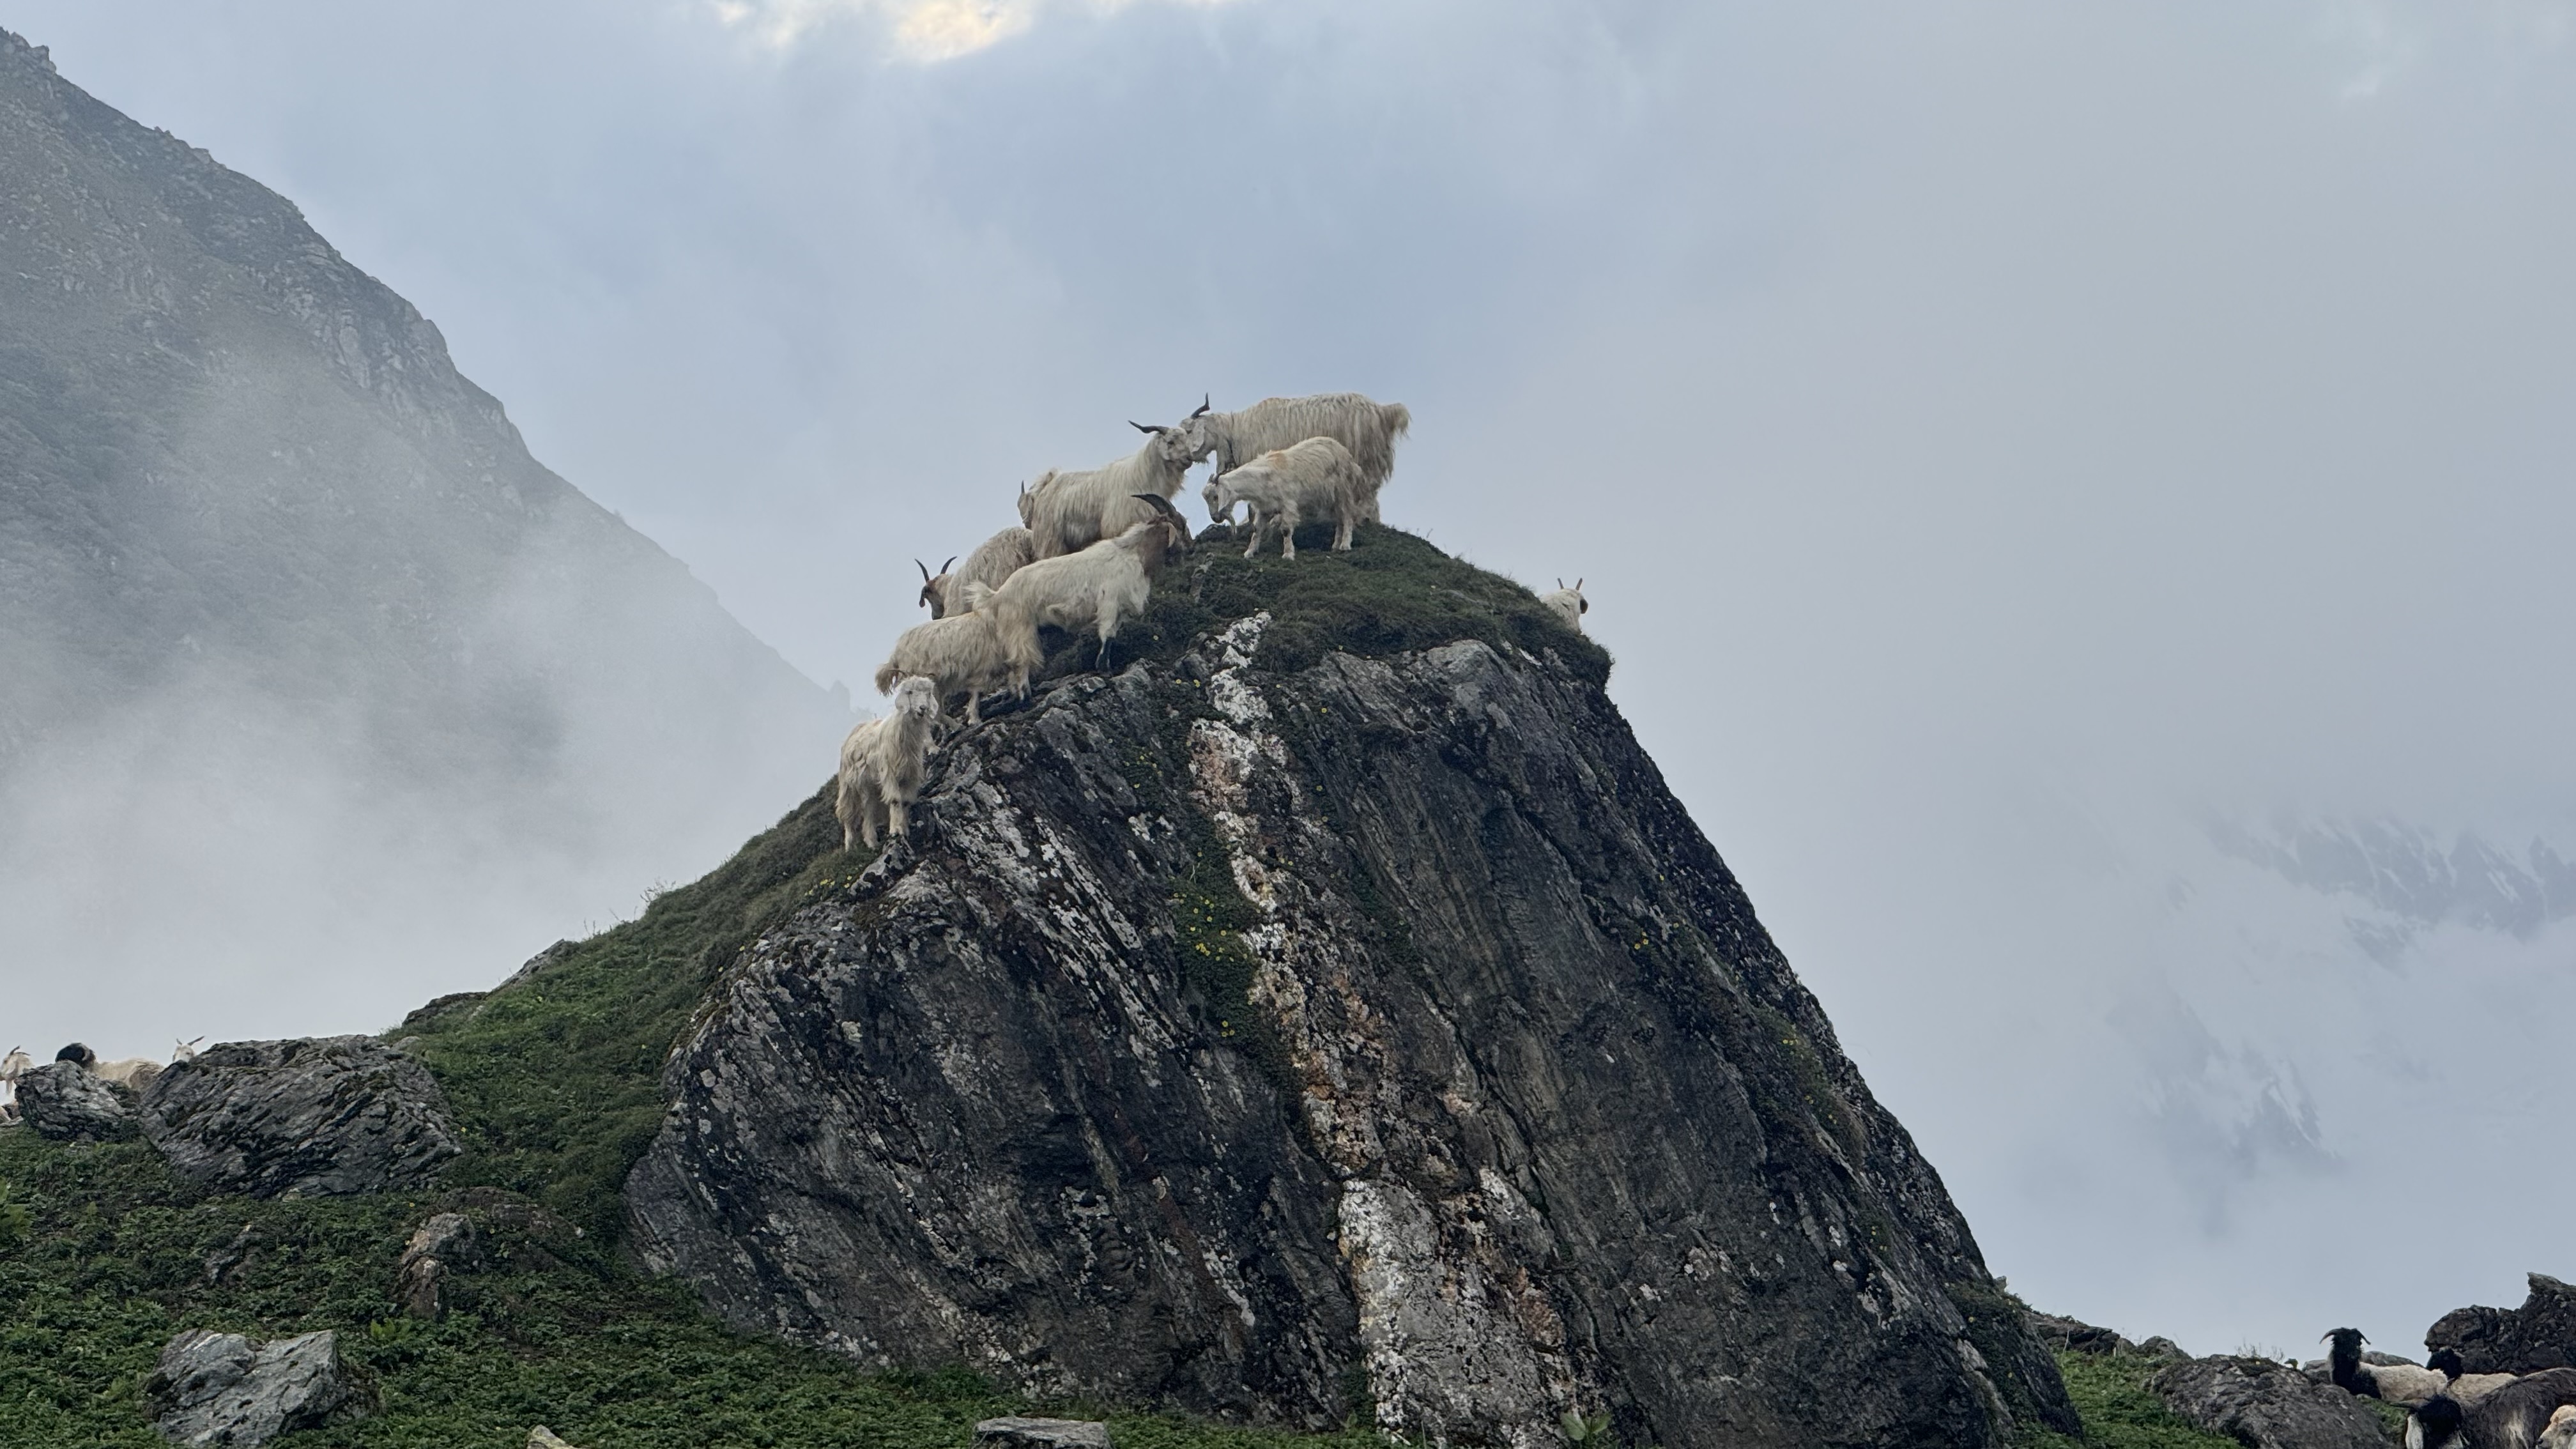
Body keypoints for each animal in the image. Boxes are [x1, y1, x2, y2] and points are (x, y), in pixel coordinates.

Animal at [834, 676, 941, 850]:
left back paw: (872, 843)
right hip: (848, 786)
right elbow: (896, 800)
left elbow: (905, 802)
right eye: (910, 692)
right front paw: (896, 831)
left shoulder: (909, 776)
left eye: (928, 693)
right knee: (848, 815)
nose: (923, 708)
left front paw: (904, 829)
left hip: (870, 787)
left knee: (868, 811)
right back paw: (850, 847)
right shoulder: (889, 773)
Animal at [988, 495, 1193, 670]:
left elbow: (1113, 634)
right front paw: (1103, 667)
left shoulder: (1121, 609)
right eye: (1182, 524)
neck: (1132, 554)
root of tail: (998, 595)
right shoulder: (1109, 602)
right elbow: (1107, 634)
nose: (1190, 548)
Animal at [1024, 419, 1199, 559]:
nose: (1189, 458)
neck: (1142, 477)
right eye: (1170, 442)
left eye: (1186, 440)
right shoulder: (1117, 526)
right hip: (1051, 540)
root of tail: (1047, 485)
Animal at [1175, 392, 1411, 524]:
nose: (1186, 458)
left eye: (1188, 431)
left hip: (1364, 459)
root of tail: (1383, 412)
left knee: (1367, 493)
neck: (1236, 432)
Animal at [1201, 437, 1368, 560]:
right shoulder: (1265, 509)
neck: (1263, 478)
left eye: (1216, 496)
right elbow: (1257, 530)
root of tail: (1347, 455)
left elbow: (1286, 530)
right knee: (1339, 519)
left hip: (1343, 491)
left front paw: (1288, 554)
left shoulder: (1288, 505)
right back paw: (1335, 546)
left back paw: (1345, 545)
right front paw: (1249, 553)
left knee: (1347, 517)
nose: (1215, 518)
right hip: (1331, 499)